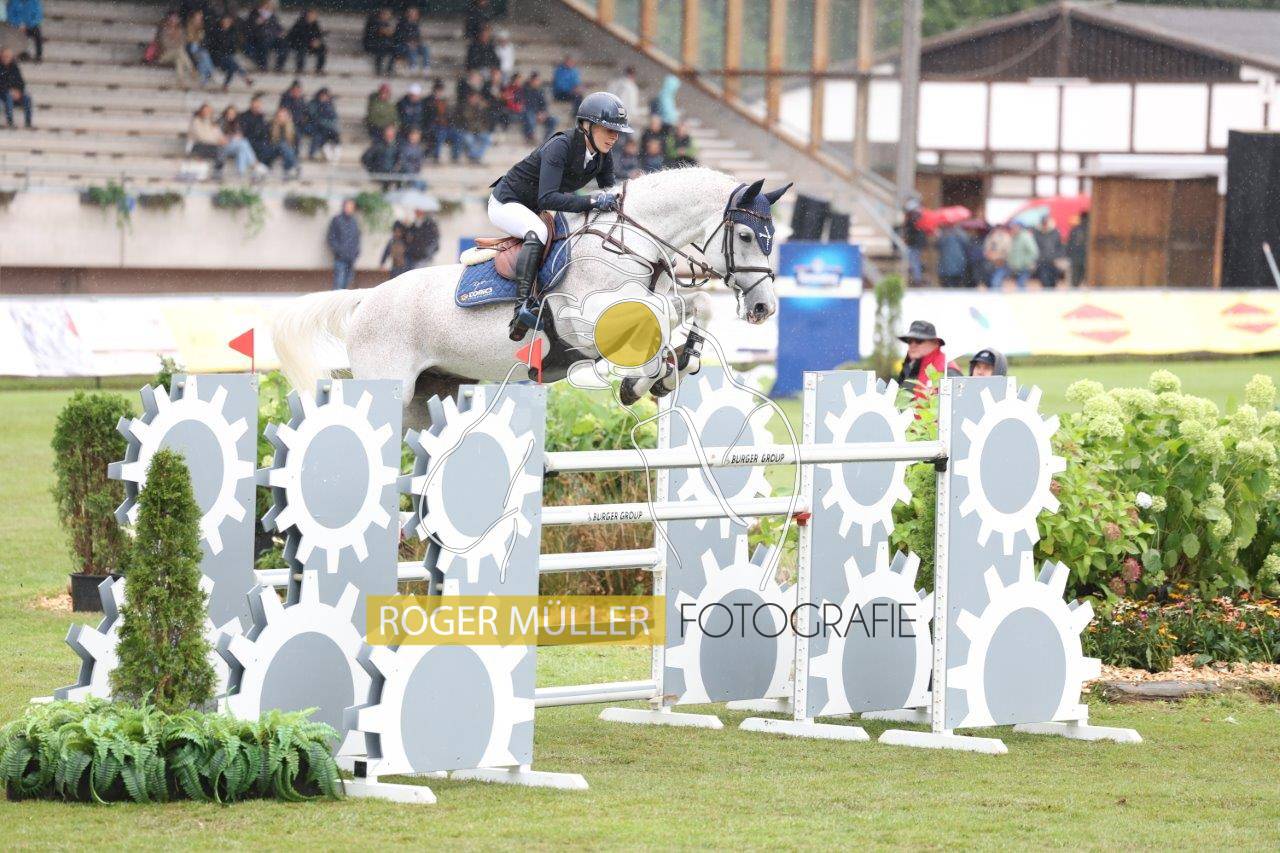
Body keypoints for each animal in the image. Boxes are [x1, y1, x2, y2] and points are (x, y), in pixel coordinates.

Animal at [271, 167, 790, 428]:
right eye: (747, 235)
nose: (763, 308)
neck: (630, 243)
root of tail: (366, 299)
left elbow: (690, 307)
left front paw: (679, 362)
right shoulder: (583, 321)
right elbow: (651, 324)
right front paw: (644, 379)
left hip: (432, 392)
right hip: (391, 386)